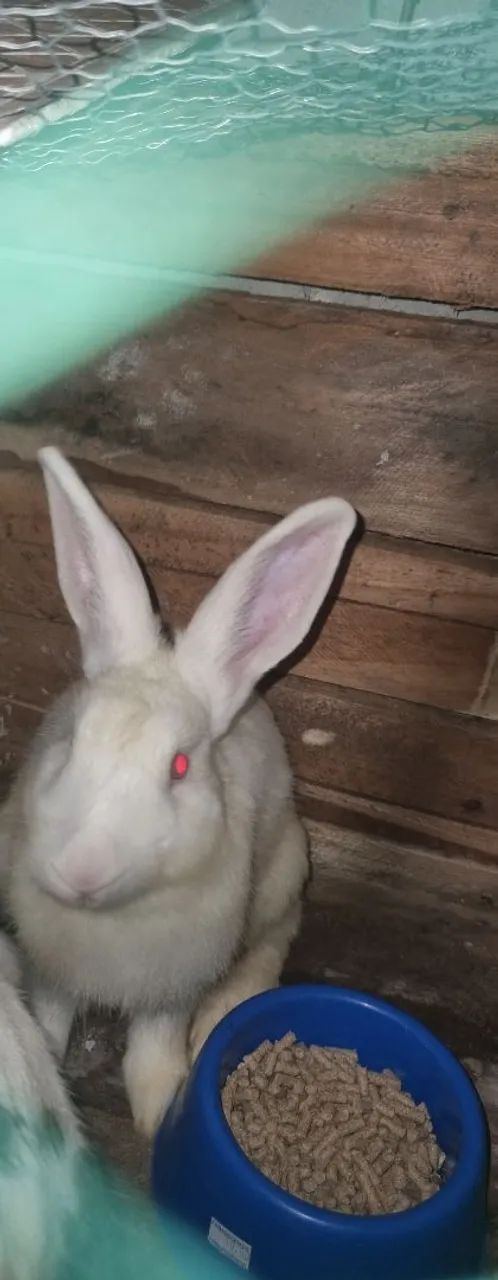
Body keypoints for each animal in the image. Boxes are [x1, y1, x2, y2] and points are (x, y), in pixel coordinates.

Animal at [1, 447, 356, 1137]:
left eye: (182, 766)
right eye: (70, 738)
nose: (81, 870)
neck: (111, 919)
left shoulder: (175, 983)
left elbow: (155, 1043)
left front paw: (159, 1106)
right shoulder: (50, 969)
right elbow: (50, 1020)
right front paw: (49, 1065)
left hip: (279, 885)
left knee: (267, 949)